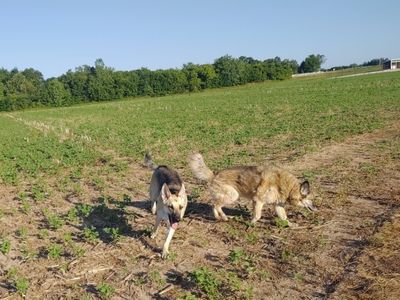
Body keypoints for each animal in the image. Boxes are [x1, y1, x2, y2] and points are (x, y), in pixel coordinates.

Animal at [189, 154, 318, 226]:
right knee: (216, 205)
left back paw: (220, 218)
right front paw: (250, 224)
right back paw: (224, 217)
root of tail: (214, 174)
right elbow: (258, 216)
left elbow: (284, 217)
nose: (317, 209)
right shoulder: (258, 200)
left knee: (213, 205)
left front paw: (290, 225)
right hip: (233, 195)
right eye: (312, 199)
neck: (288, 187)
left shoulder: (277, 206)